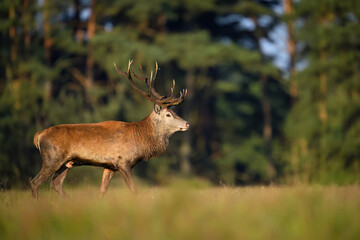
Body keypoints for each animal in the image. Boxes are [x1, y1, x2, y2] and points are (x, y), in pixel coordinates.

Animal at [29, 60, 190, 199]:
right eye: (168, 114)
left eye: (174, 111)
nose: (187, 123)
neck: (140, 138)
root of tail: (38, 136)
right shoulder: (123, 161)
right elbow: (133, 189)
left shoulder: (110, 166)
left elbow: (103, 191)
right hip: (52, 158)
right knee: (35, 182)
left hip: (66, 163)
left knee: (55, 184)